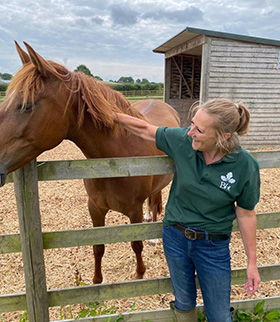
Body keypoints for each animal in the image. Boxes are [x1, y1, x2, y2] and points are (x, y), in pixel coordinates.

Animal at [0, 41, 179, 284]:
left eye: (26, 105)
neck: (115, 161)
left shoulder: (133, 210)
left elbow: (136, 244)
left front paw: (140, 274)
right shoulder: (95, 208)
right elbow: (97, 246)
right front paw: (96, 282)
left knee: (154, 203)